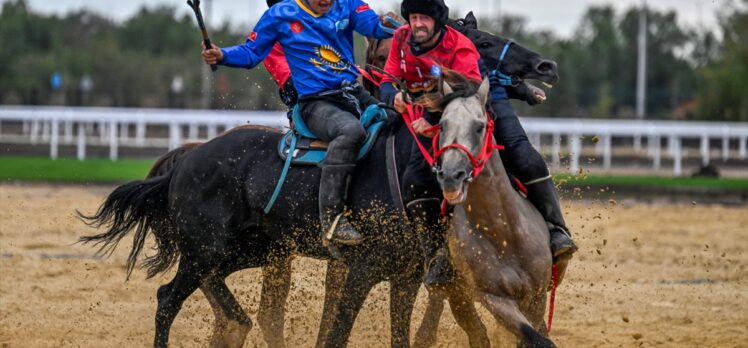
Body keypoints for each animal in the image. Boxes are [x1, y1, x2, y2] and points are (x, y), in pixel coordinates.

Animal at [80, 19, 560, 348]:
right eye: (484, 42)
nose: (546, 64)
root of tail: (188, 159)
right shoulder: (361, 269)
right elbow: (336, 331)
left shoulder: (405, 275)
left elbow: (401, 334)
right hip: (207, 247)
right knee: (168, 299)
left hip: (250, 249)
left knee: (218, 297)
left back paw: (235, 321)